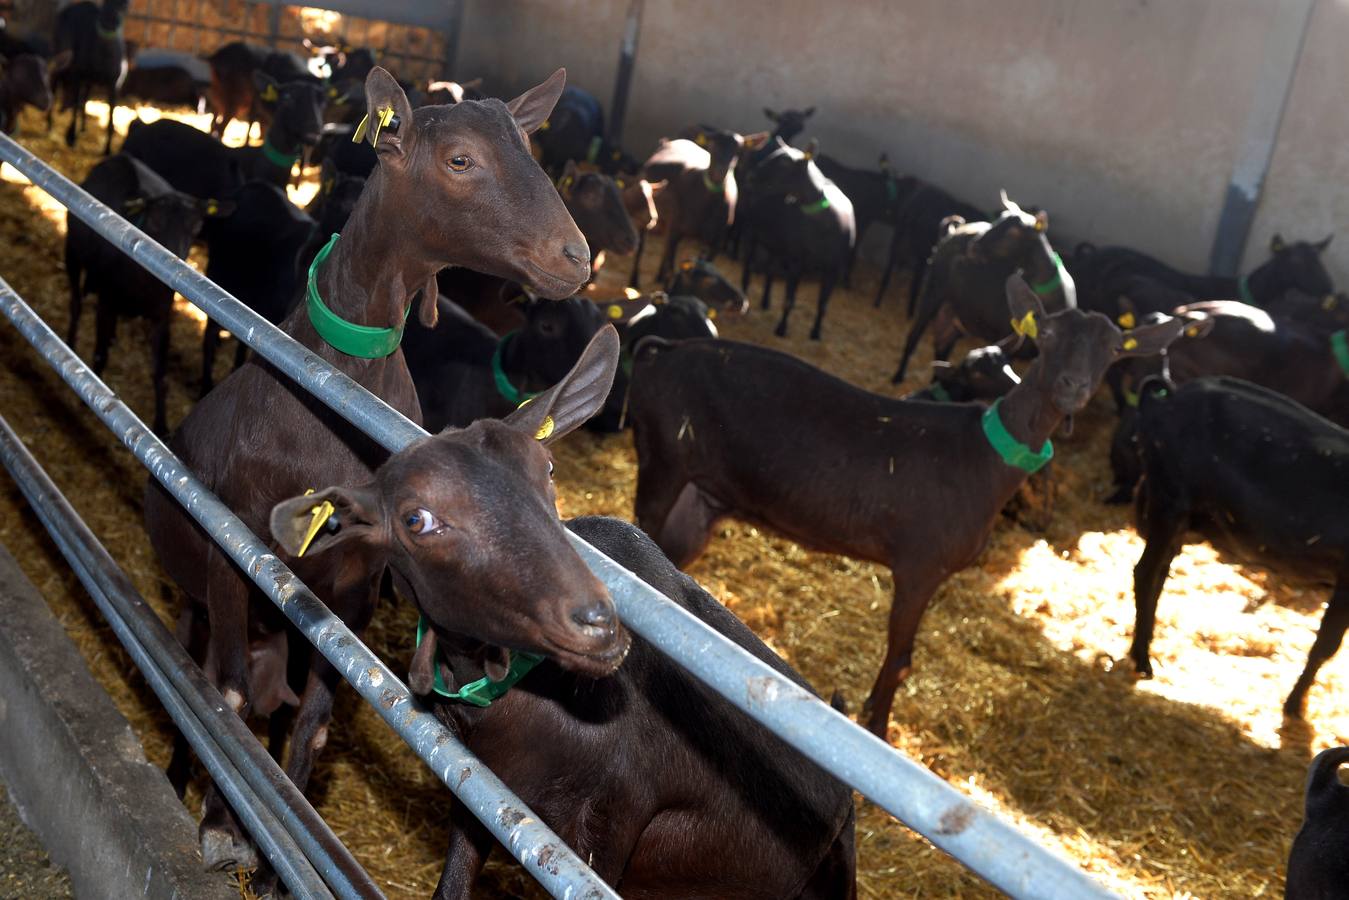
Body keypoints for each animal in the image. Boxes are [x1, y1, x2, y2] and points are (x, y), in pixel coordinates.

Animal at [142, 65, 590, 874]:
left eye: (532, 148)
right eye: (459, 159)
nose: (576, 257)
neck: (330, 390)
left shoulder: (352, 588)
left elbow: (314, 723)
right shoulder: (233, 550)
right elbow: (227, 697)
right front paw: (222, 829)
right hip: (194, 588)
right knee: (199, 667)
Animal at [625, 277, 1187, 734]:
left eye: (1112, 349)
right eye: (1046, 335)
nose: (1073, 387)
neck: (986, 453)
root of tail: (661, 351)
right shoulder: (920, 564)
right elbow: (901, 658)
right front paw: (876, 725)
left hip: (701, 497)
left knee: (671, 552)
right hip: (664, 457)